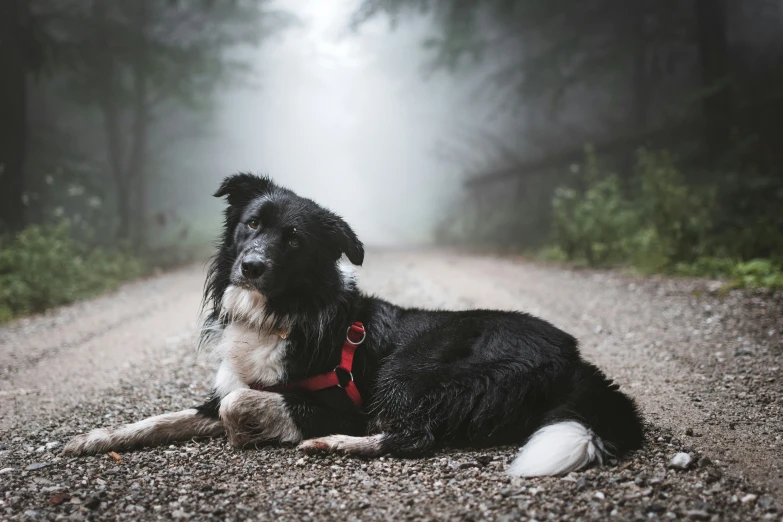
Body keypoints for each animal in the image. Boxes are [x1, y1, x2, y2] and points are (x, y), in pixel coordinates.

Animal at [66, 175, 644, 476]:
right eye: (251, 224)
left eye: (294, 239)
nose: (249, 266)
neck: (280, 315)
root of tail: (576, 358)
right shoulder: (224, 386)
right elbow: (162, 419)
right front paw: (94, 438)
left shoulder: (337, 401)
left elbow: (239, 407)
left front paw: (253, 432)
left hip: (406, 372)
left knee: (414, 436)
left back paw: (335, 445)